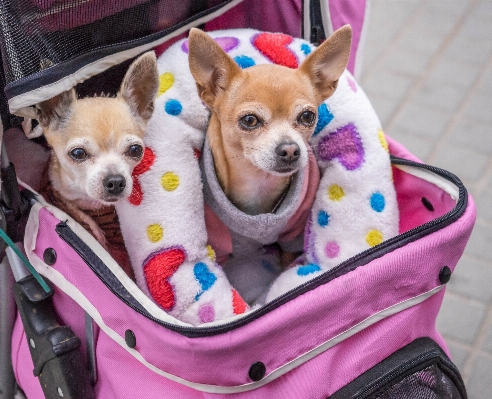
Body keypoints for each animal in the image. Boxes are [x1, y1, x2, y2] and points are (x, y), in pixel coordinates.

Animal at [186, 28, 352, 282]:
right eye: (249, 120)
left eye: (307, 116)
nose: (290, 149)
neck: (259, 183)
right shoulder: (219, 247)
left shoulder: (293, 236)